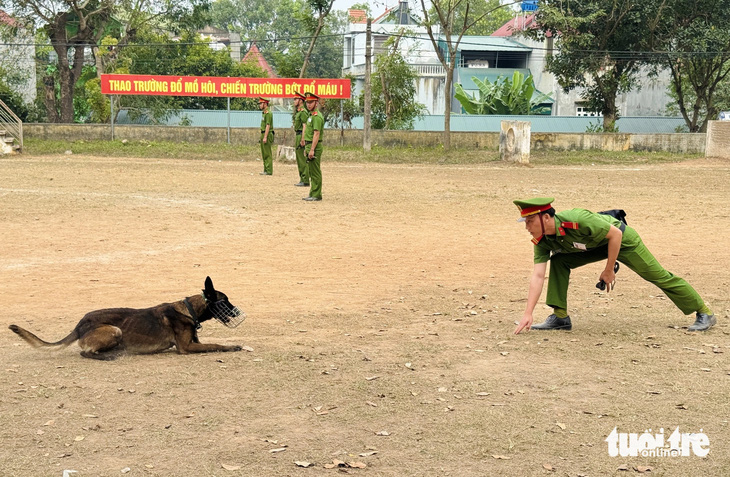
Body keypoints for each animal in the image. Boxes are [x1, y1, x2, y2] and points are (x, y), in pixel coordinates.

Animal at [7, 276, 245, 360]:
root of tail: (80, 323)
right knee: (85, 352)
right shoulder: (186, 348)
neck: (189, 309)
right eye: (225, 301)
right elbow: (216, 345)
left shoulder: (194, 341)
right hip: (115, 330)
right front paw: (234, 346)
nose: (237, 313)